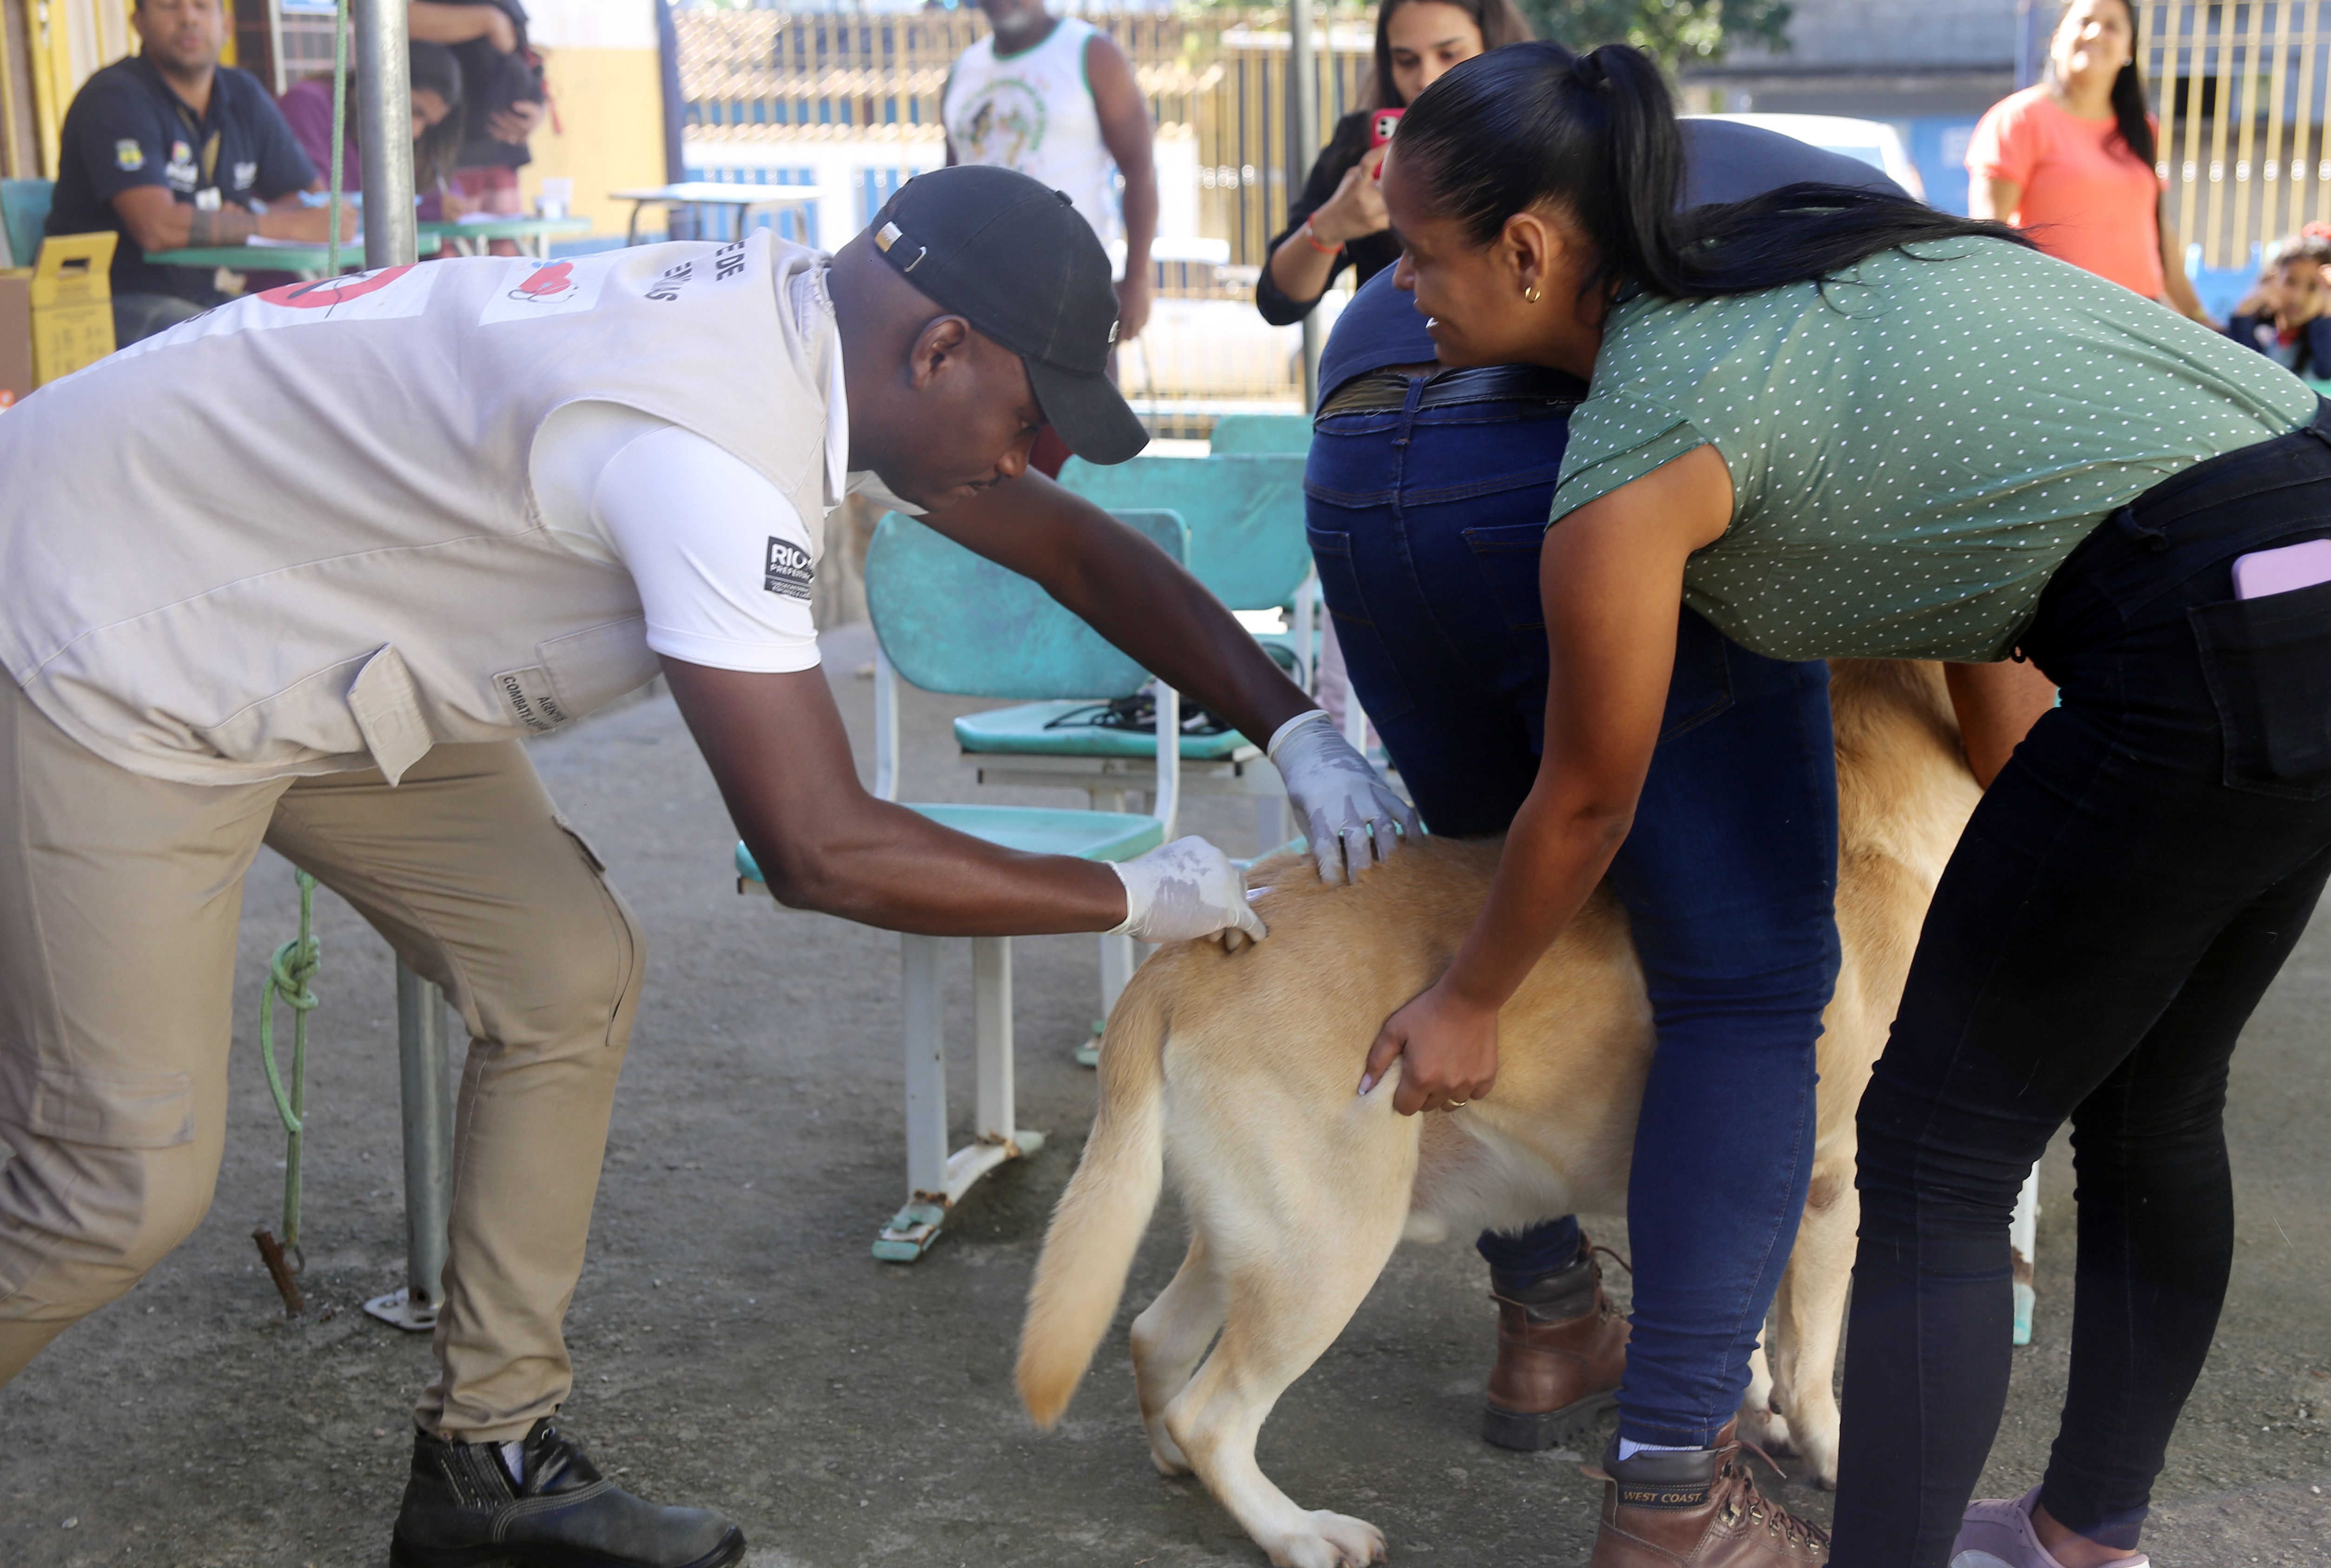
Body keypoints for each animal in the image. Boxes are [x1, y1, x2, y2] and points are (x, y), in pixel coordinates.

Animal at [1012, 662, 1976, 1565]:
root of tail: (1183, 955)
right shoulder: (1830, 1184)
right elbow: (1808, 1358)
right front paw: (1835, 1457)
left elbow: (1739, 1334)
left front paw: (1748, 1406)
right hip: (1326, 1247)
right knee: (1213, 1413)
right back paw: (1295, 1531)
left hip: (1252, 1233)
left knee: (1154, 1341)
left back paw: (1178, 1463)